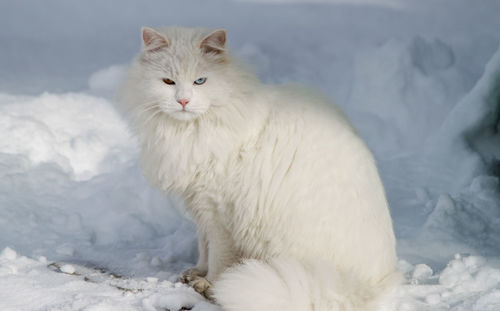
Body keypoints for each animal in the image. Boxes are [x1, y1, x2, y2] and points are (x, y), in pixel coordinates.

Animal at [115, 26, 400, 311]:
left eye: (200, 81)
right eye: (168, 82)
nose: (183, 101)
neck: (191, 130)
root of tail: (358, 288)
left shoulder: (218, 212)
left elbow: (217, 256)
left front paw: (211, 284)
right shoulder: (201, 205)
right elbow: (204, 248)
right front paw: (196, 272)